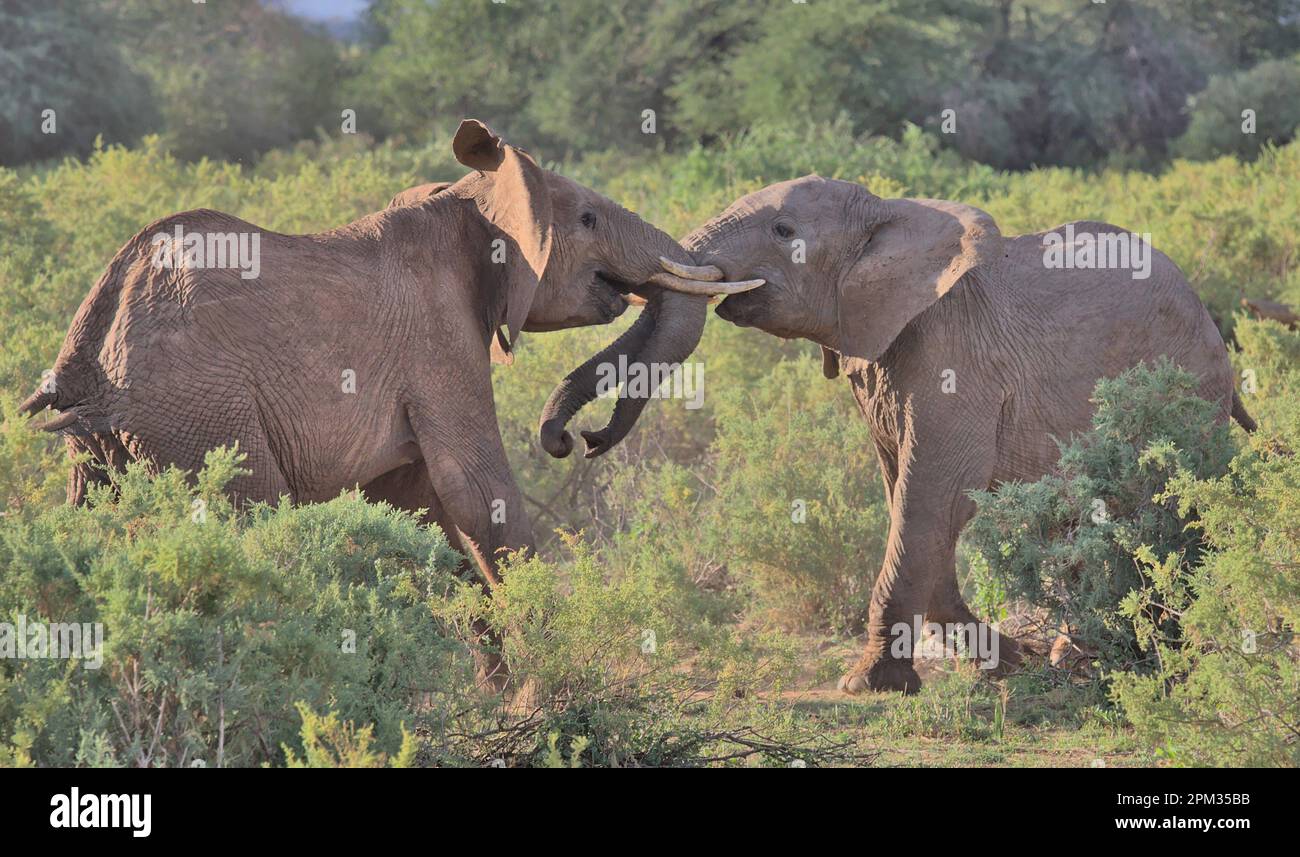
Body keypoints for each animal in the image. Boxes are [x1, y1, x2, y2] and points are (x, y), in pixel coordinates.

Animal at [20, 117, 759, 595]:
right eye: (588, 220)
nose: (572, 440)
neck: (463, 204)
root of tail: (92, 342)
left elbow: (427, 508)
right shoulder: (440, 339)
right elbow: (480, 495)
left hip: (105, 441)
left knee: (92, 517)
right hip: (199, 410)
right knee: (249, 509)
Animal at [670, 175, 1248, 697]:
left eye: (783, 229)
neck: (888, 213)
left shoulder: (955, 361)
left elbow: (936, 499)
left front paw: (867, 686)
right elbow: (909, 500)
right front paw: (1009, 664)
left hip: (1188, 386)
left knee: (1162, 512)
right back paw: (1075, 656)